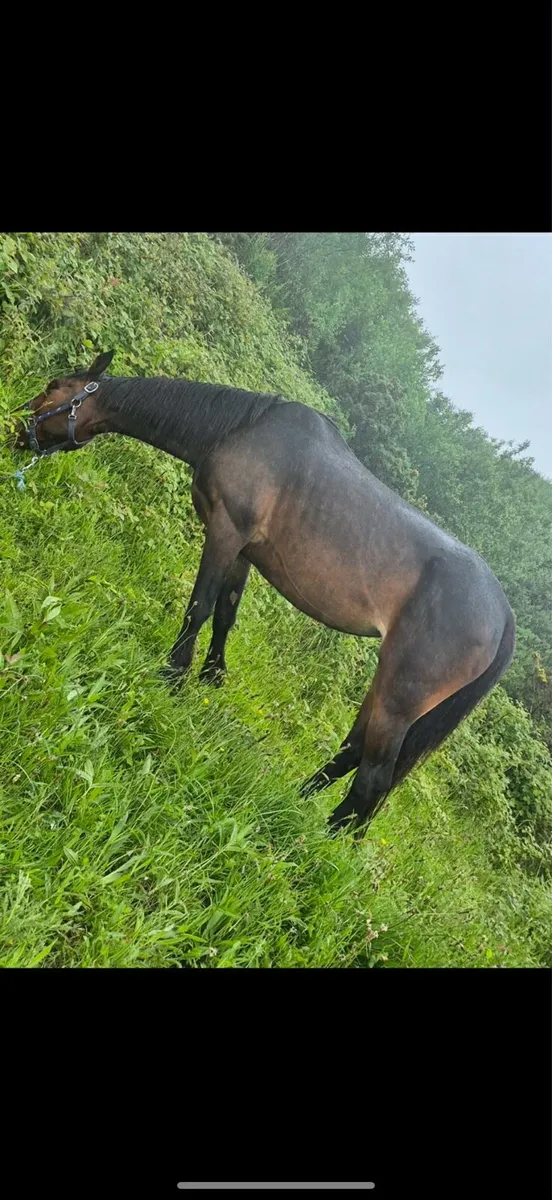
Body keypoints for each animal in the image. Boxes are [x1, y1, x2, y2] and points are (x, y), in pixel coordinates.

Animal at [14, 351, 516, 837]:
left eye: (54, 387)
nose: (20, 431)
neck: (237, 429)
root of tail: (502, 617)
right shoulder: (243, 550)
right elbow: (225, 613)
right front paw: (211, 678)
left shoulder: (224, 530)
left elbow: (199, 606)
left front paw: (173, 675)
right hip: (388, 684)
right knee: (352, 752)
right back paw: (298, 802)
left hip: (400, 697)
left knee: (372, 780)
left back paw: (322, 842)